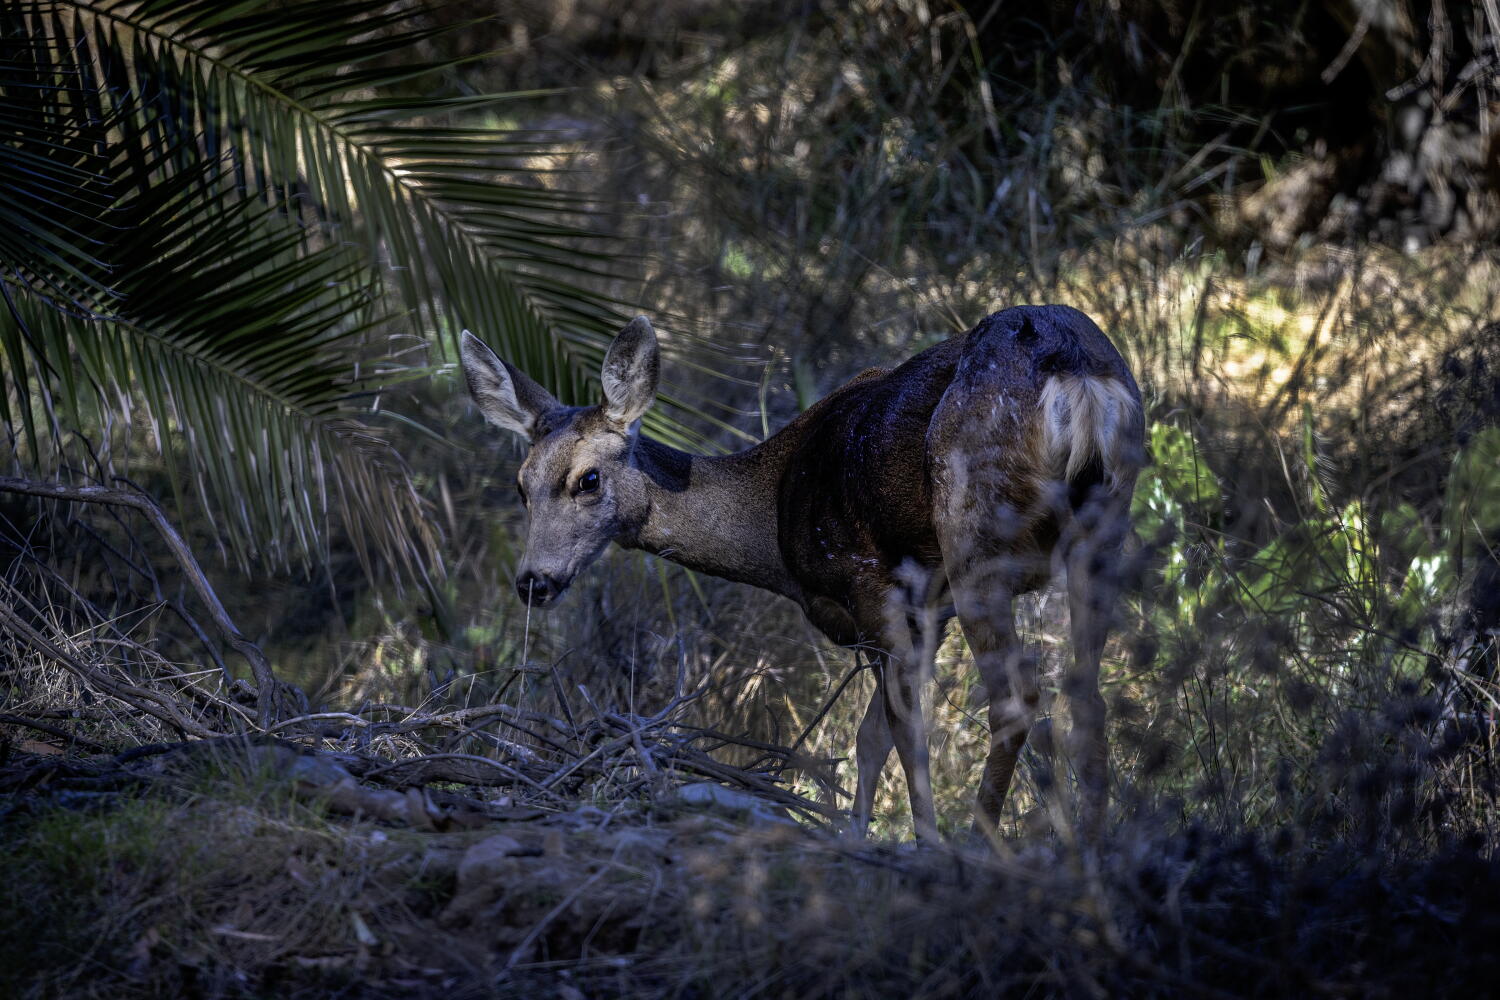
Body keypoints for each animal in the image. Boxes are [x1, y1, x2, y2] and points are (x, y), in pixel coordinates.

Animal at [460, 305, 1143, 840]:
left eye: (588, 479)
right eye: (520, 486)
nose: (533, 581)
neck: (773, 523)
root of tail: (1078, 373)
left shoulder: (872, 583)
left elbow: (900, 729)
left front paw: (917, 842)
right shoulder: (927, 609)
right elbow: (870, 737)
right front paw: (860, 833)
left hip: (975, 531)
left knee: (1016, 698)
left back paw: (979, 844)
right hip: (1105, 526)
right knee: (1086, 691)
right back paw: (1092, 847)